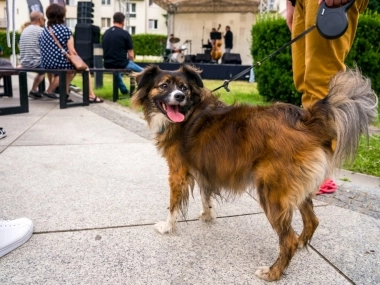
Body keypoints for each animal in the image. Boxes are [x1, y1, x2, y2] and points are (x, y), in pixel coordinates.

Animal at [131, 64, 378, 280]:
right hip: (295, 188)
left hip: (271, 192)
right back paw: (300, 245)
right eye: (164, 86)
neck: (188, 111)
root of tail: (307, 121)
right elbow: (205, 195)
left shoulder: (178, 172)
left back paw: (273, 272)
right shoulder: (203, 168)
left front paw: (167, 227)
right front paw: (207, 215)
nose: (179, 97)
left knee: (287, 239)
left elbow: (173, 205)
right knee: (312, 221)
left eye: (183, 88)